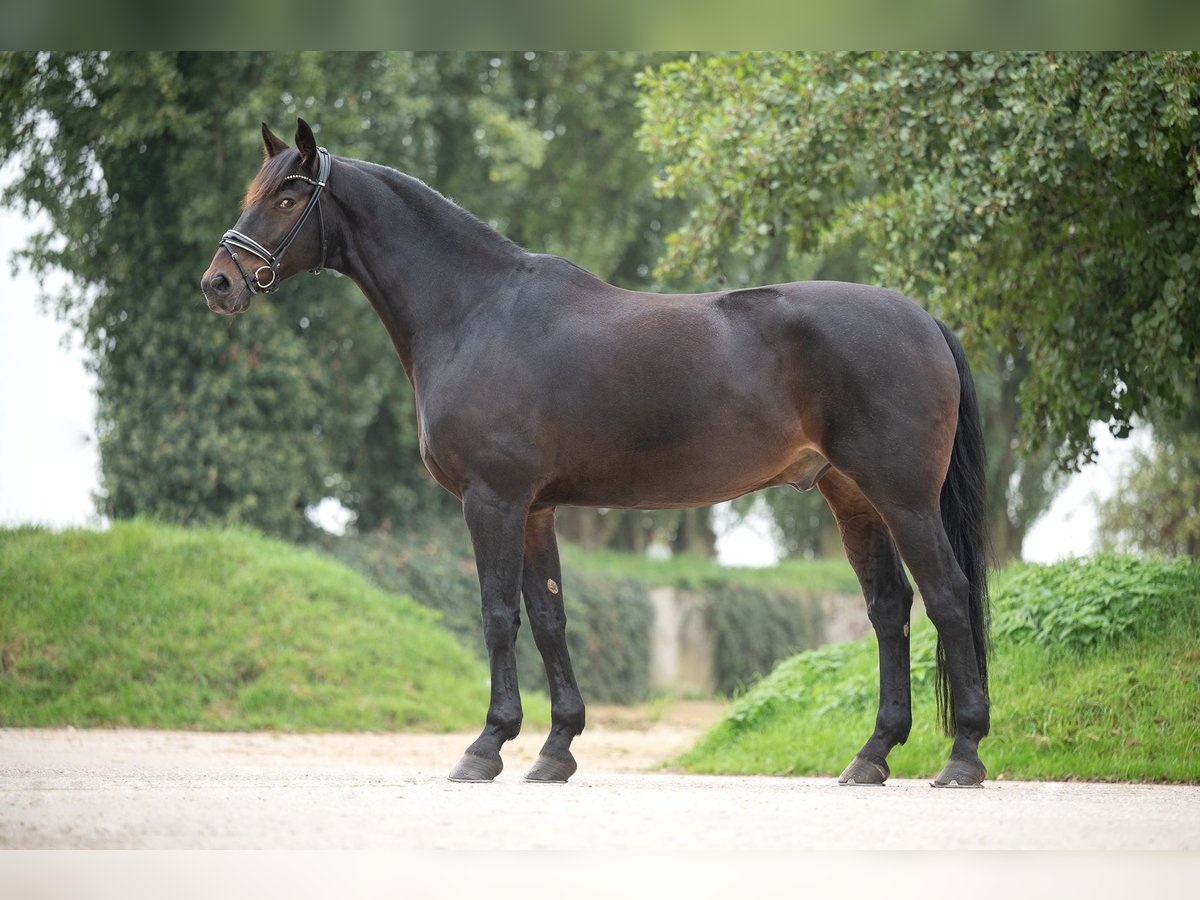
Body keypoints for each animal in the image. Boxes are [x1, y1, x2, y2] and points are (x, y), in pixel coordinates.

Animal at [201, 119, 991, 788]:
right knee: (888, 610)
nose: (218, 282)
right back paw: (872, 756)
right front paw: (555, 751)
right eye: (254, 191)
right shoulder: (535, 510)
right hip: (851, 496)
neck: (476, 311)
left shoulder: (492, 500)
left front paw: (485, 748)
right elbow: (549, 617)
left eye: (288, 195)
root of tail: (923, 317)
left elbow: (497, 615)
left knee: (949, 599)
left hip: (904, 497)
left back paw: (962, 757)